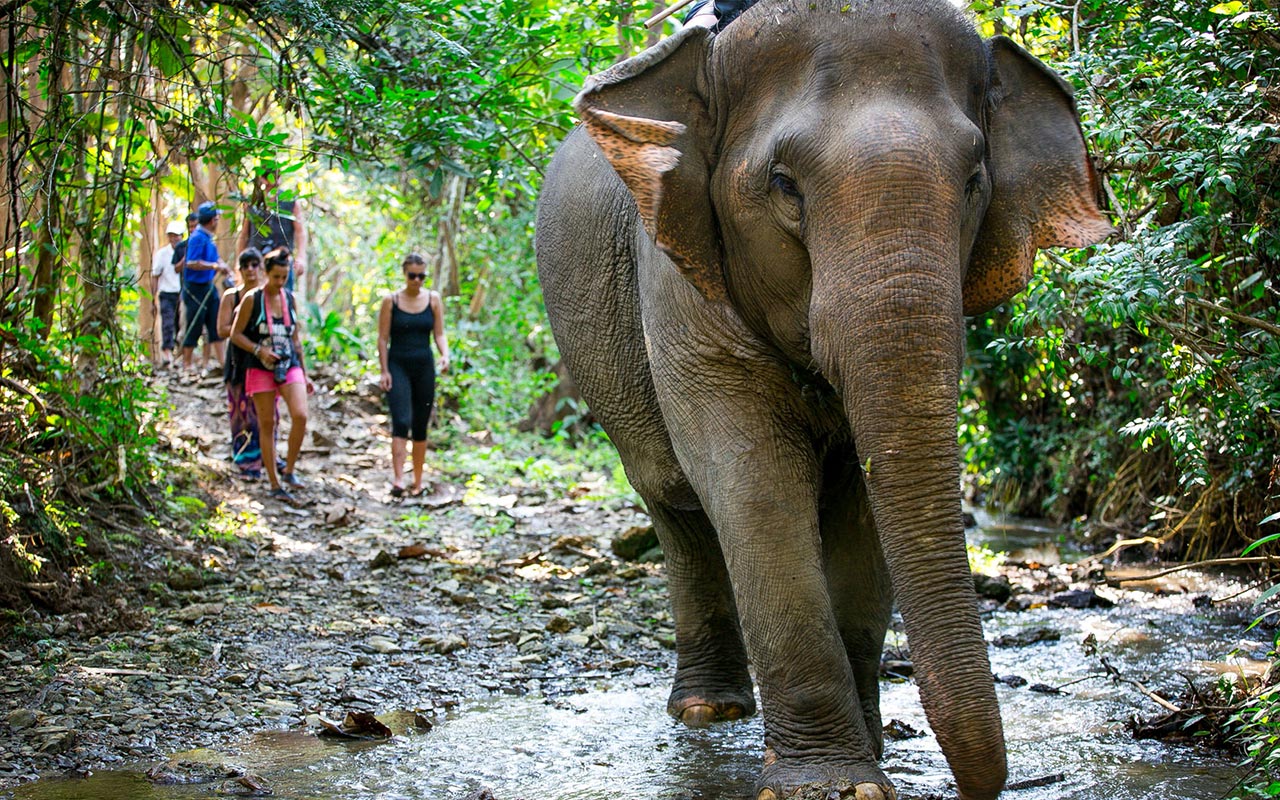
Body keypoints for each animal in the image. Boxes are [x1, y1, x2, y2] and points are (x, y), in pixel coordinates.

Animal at [529, 3, 1111, 793]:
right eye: (783, 184)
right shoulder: (679, 276)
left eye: (973, 181)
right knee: (675, 502)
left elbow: (866, 504)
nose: (989, 785)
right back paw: (709, 711)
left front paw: (871, 754)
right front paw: (833, 785)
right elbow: (753, 482)